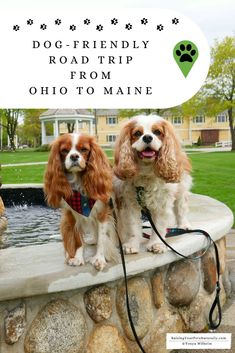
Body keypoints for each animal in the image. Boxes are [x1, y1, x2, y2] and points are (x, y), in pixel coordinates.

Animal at [43, 132, 117, 270]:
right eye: (64, 150)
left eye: (84, 149)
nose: (74, 156)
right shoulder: (71, 215)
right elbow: (77, 239)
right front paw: (76, 258)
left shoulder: (103, 213)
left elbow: (102, 238)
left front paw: (99, 258)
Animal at [113, 114, 192, 254]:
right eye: (137, 133)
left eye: (157, 132)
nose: (147, 137)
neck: (146, 171)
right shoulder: (130, 203)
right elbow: (133, 226)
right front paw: (132, 245)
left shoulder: (162, 203)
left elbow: (159, 226)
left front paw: (157, 244)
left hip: (182, 188)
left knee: (181, 207)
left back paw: (184, 225)